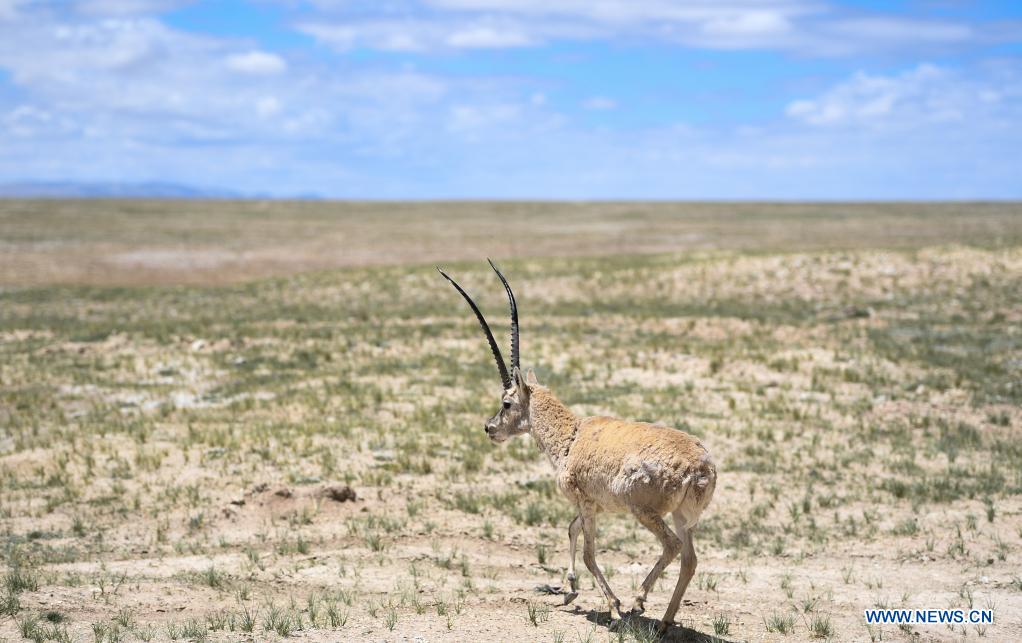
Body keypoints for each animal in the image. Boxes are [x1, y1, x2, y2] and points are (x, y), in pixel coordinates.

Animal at [438, 260, 717, 631]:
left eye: (507, 402)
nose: (490, 428)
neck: (572, 435)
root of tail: (701, 467)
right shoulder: (593, 506)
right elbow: (571, 530)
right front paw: (570, 590)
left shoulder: (585, 502)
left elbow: (588, 553)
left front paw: (613, 607)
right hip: (683, 517)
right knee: (690, 559)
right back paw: (664, 623)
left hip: (646, 512)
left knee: (671, 546)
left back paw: (637, 603)